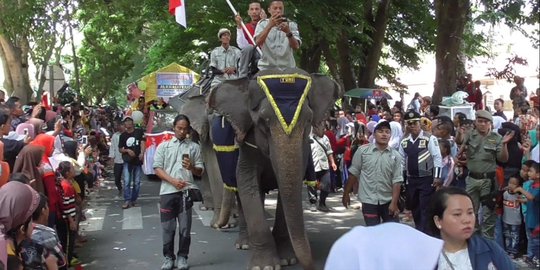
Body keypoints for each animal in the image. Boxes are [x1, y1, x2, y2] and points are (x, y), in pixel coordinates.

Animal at [207, 68, 342, 270]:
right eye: (263, 120)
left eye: (309, 120)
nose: (313, 264)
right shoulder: (247, 145)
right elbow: (247, 184)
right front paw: (265, 266)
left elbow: (289, 191)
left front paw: (287, 259)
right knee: (240, 194)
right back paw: (244, 244)